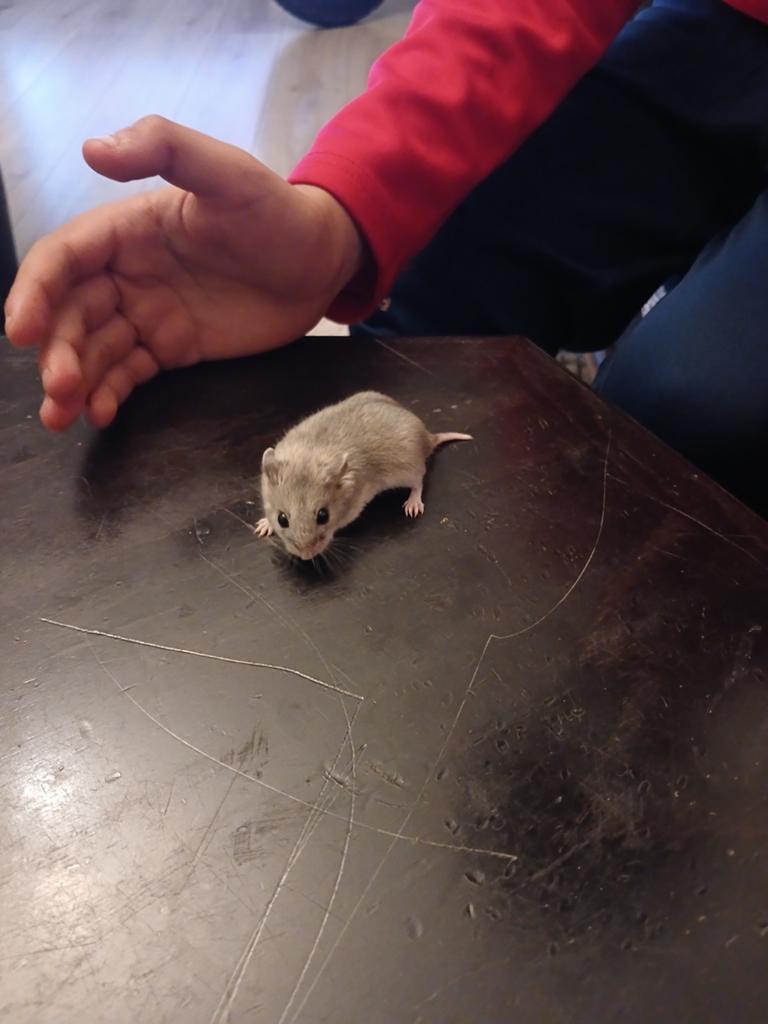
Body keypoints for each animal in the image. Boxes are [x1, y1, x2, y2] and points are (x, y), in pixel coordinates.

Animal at [256, 391, 472, 561]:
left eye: (323, 516)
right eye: (282, 519)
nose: (306, 556)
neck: (309, 456)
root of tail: (428, 437)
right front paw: (262, 527)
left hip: (408, 470)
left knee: (419, 482)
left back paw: (413, 506)